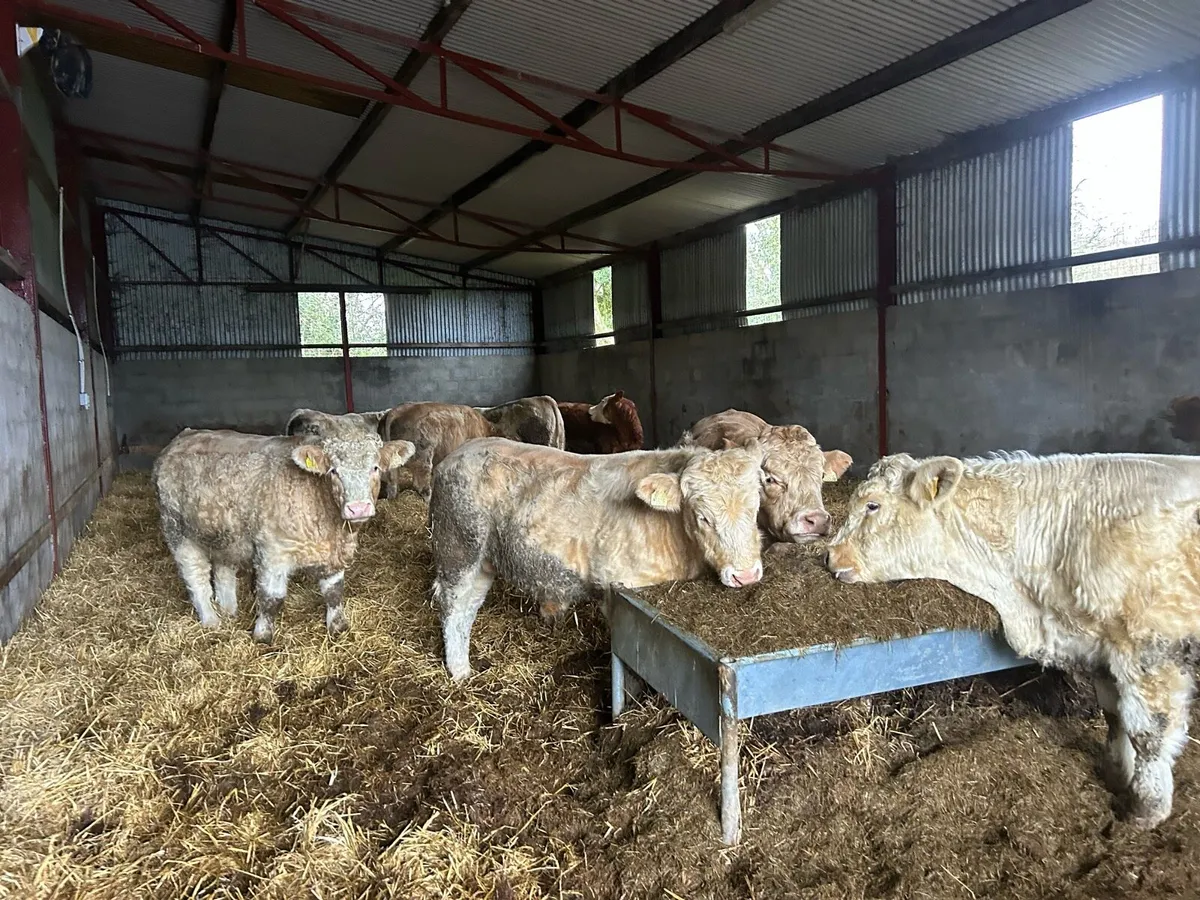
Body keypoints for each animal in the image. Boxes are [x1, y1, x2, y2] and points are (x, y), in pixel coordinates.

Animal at [152, 427, 415, 642]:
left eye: (375, 467)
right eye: (333, 471)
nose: (358, 508)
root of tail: (185, 436)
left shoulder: (332, 553)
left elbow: (334, 592)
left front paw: (338, 628)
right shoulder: (273, 552)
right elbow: (271, 598)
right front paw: (262, 637)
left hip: (224, 535)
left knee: (223, 571)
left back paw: (228, 611)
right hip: (177, 531)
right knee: (195, 577)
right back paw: (211, 621)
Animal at [430, 438, 767, 680]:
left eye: (755, 508)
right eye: (703, 517)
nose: (746, 575)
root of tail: (458, 453)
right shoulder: (616, 585)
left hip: (483, 560)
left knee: (470, 606)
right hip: (459, 548)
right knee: (454, 608)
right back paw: (459, 672)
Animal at [825, 450, 1200, 829]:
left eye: (872, 505)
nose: (830, 556)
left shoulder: (1150, 650)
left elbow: (1148, 734)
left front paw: (1144, 812)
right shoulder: (1099, 647)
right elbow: (1113, 715)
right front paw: (1116, 776)